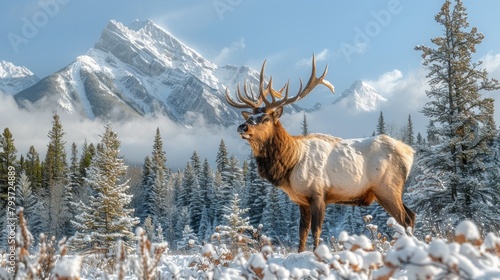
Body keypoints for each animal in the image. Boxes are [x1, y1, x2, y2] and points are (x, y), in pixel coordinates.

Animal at [226, 55, 414, 253]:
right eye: (250, 117)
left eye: (265, 118)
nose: (242, 127)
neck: (290, 163)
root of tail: (409, 152)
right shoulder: (301, 201)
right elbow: (302, 232)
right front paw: (300, 254)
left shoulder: (318, 193)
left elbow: (316, 230)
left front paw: (317, 253)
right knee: (411, 215)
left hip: (388, 187)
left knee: (405, 219)